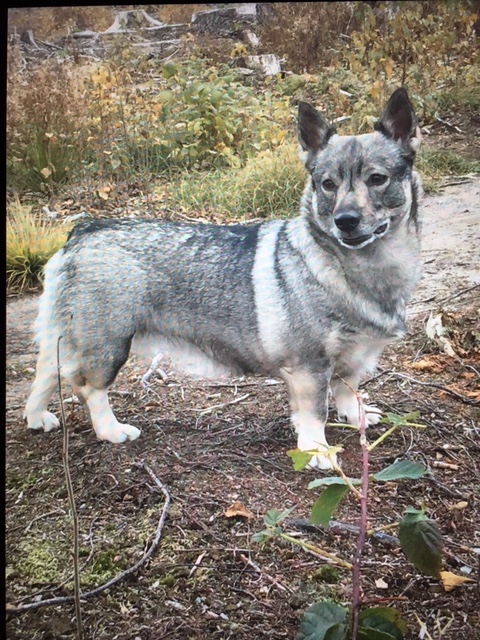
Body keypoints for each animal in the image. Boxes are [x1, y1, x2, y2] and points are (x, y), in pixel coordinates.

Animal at [24, 88, 422, 470]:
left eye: (377, 179)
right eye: (328, 184)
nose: (346, 220)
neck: (358, 267)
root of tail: (83, 232)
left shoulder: (351, 360)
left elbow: (347, 391)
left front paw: (355, 416)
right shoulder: (310, 368)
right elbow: (315, 414)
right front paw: (318, 452)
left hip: (64, 337)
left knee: (45, 372)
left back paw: (37, 418)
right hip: (109, 345)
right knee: (89, 388)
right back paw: (111, 430)